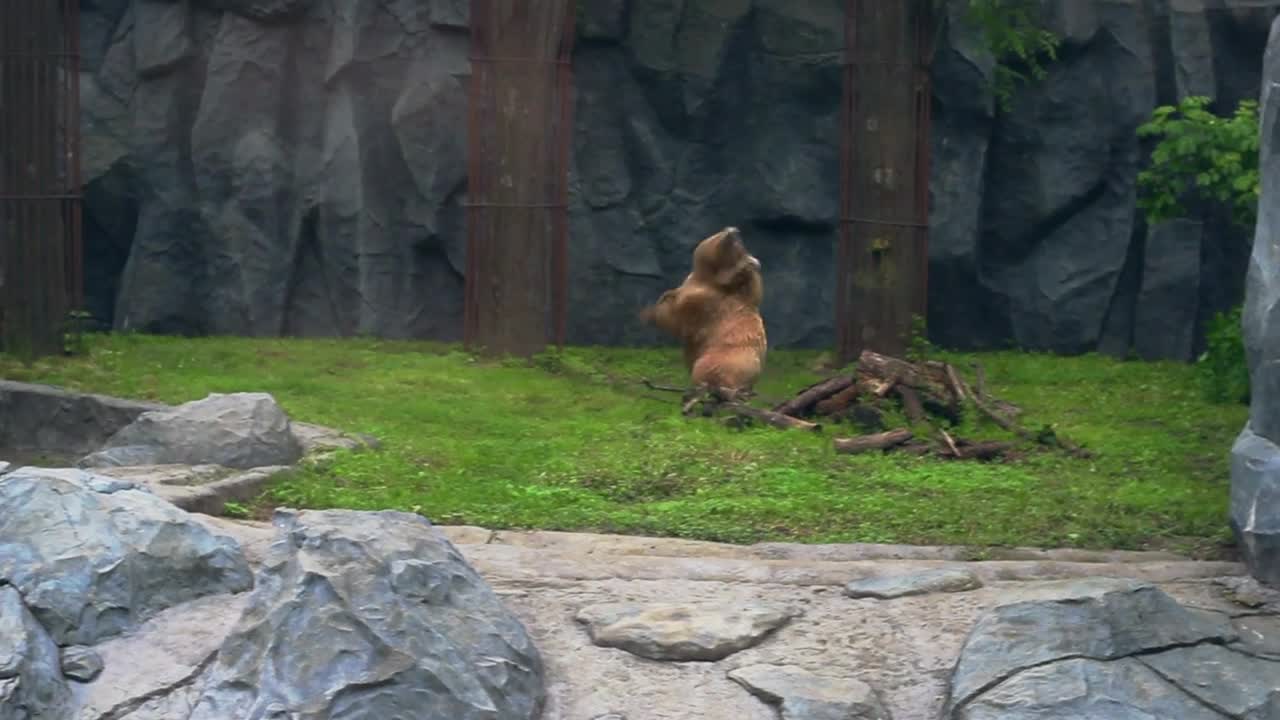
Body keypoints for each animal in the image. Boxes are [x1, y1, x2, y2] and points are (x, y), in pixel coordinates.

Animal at [637, 225, 762, 397]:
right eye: (724, 234)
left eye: (738, 243)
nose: (733, 230)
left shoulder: (705, 304)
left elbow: (678, 318)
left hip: (723, 358)